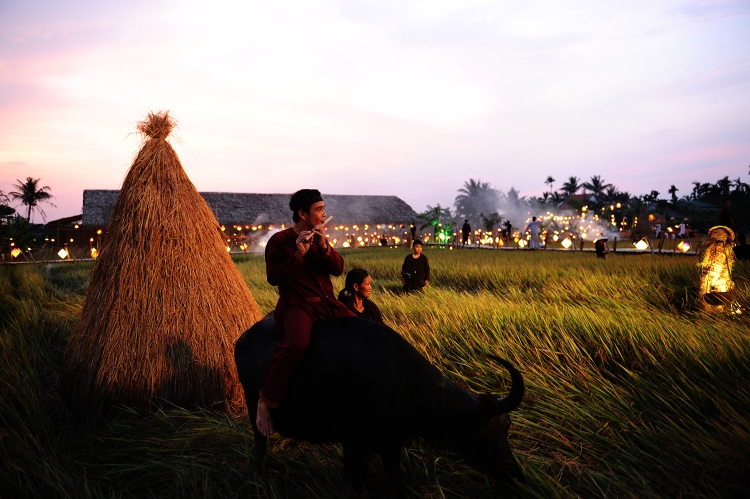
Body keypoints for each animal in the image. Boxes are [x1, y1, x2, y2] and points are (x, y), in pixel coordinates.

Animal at [238, 318, 524, 498]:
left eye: (507, 425)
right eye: (491, 427)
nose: (515, 472)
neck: (400, 380)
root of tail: (242, 339)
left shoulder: (391, 445)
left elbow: (395, 485)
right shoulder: (355, 445)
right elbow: (357, 491)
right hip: (253, 406)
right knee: (260, 444)